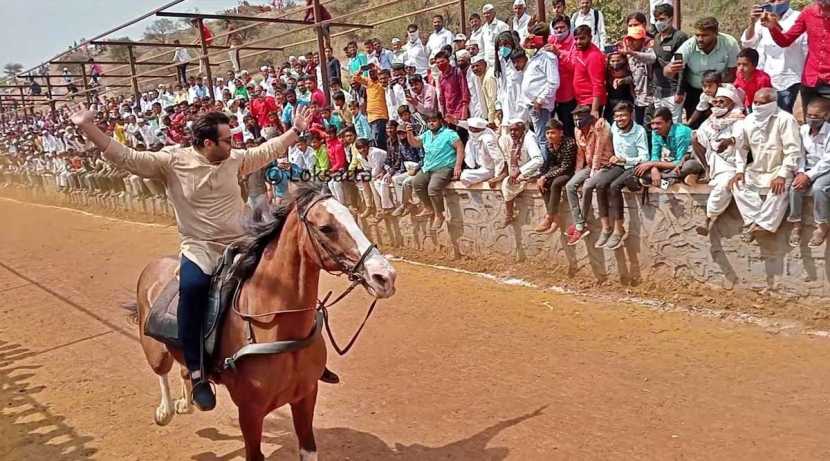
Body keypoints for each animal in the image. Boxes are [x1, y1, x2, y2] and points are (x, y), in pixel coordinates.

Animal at [134, 183, 400, 460]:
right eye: (326, 227)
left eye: (352, 217)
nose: (384, 276)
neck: (277, 331)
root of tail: (154, 265)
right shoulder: (250, 412)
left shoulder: (306, 396)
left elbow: (308, 449)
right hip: (154, 349)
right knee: (163, 371)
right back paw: (166, 411)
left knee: (185, 369)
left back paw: (186, 403)